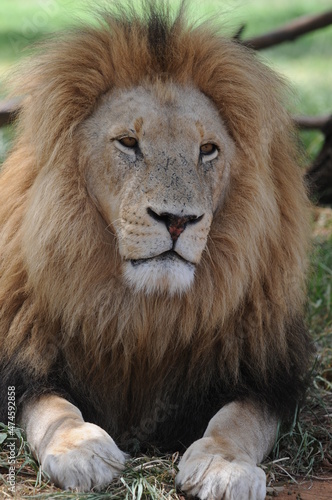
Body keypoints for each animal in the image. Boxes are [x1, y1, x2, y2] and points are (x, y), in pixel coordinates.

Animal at [0, 1, 312, 498]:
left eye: (208, 149)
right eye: (129, 143)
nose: (177, 220)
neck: (146, 309)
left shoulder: (266, 377)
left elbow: (238, 420)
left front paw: (224, 468)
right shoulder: (22, 363)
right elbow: (51, 408)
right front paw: (81, 450)